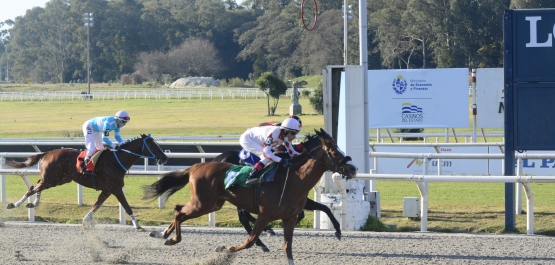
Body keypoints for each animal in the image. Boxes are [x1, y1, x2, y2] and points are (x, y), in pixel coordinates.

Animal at [5, 133, 167, 230]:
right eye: (153, 145)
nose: (164, 158)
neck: (117, 160)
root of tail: (48, 152)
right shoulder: (115, 188)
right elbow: (127, 207)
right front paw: (137, 226)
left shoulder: (108, 189)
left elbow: (96, 205)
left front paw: (85, 220)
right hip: (52, 179)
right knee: (32, 188)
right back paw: (14, 204)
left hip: (58, 179)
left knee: (36, 186)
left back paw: (33, 203)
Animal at [213, 150, 344, 251]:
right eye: (335, 153)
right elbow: (319, 209)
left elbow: (322, 208)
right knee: (244, 217)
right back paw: (263, 239)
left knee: (244, 216)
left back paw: (265, 234)